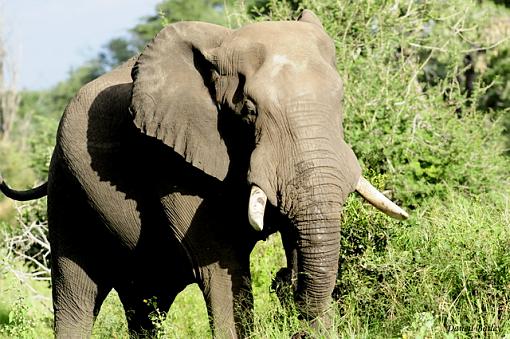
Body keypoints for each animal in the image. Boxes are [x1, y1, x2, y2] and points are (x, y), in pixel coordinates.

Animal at [0, 10, 406, 339]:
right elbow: (222, 267)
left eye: (340, 99)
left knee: (144, 304)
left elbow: (299, 239)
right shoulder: (172, 159)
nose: (280, 282)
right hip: (67, 191)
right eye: (249, 111)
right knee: (76, 293)